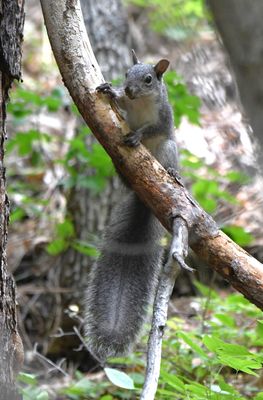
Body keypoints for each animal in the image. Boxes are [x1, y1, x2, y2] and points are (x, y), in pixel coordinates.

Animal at [85, 50, 179, 362]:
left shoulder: (164, 117)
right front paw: (110, 90)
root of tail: (144, 194)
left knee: (169, 157)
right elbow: (119, 104)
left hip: (168, 149)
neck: (140, 103)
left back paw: (172, 173)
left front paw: (138, 134)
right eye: (127, 73)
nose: (128, 89)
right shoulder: (127, 106)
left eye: (149, 79)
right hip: (118, 165)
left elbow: (153, 127)